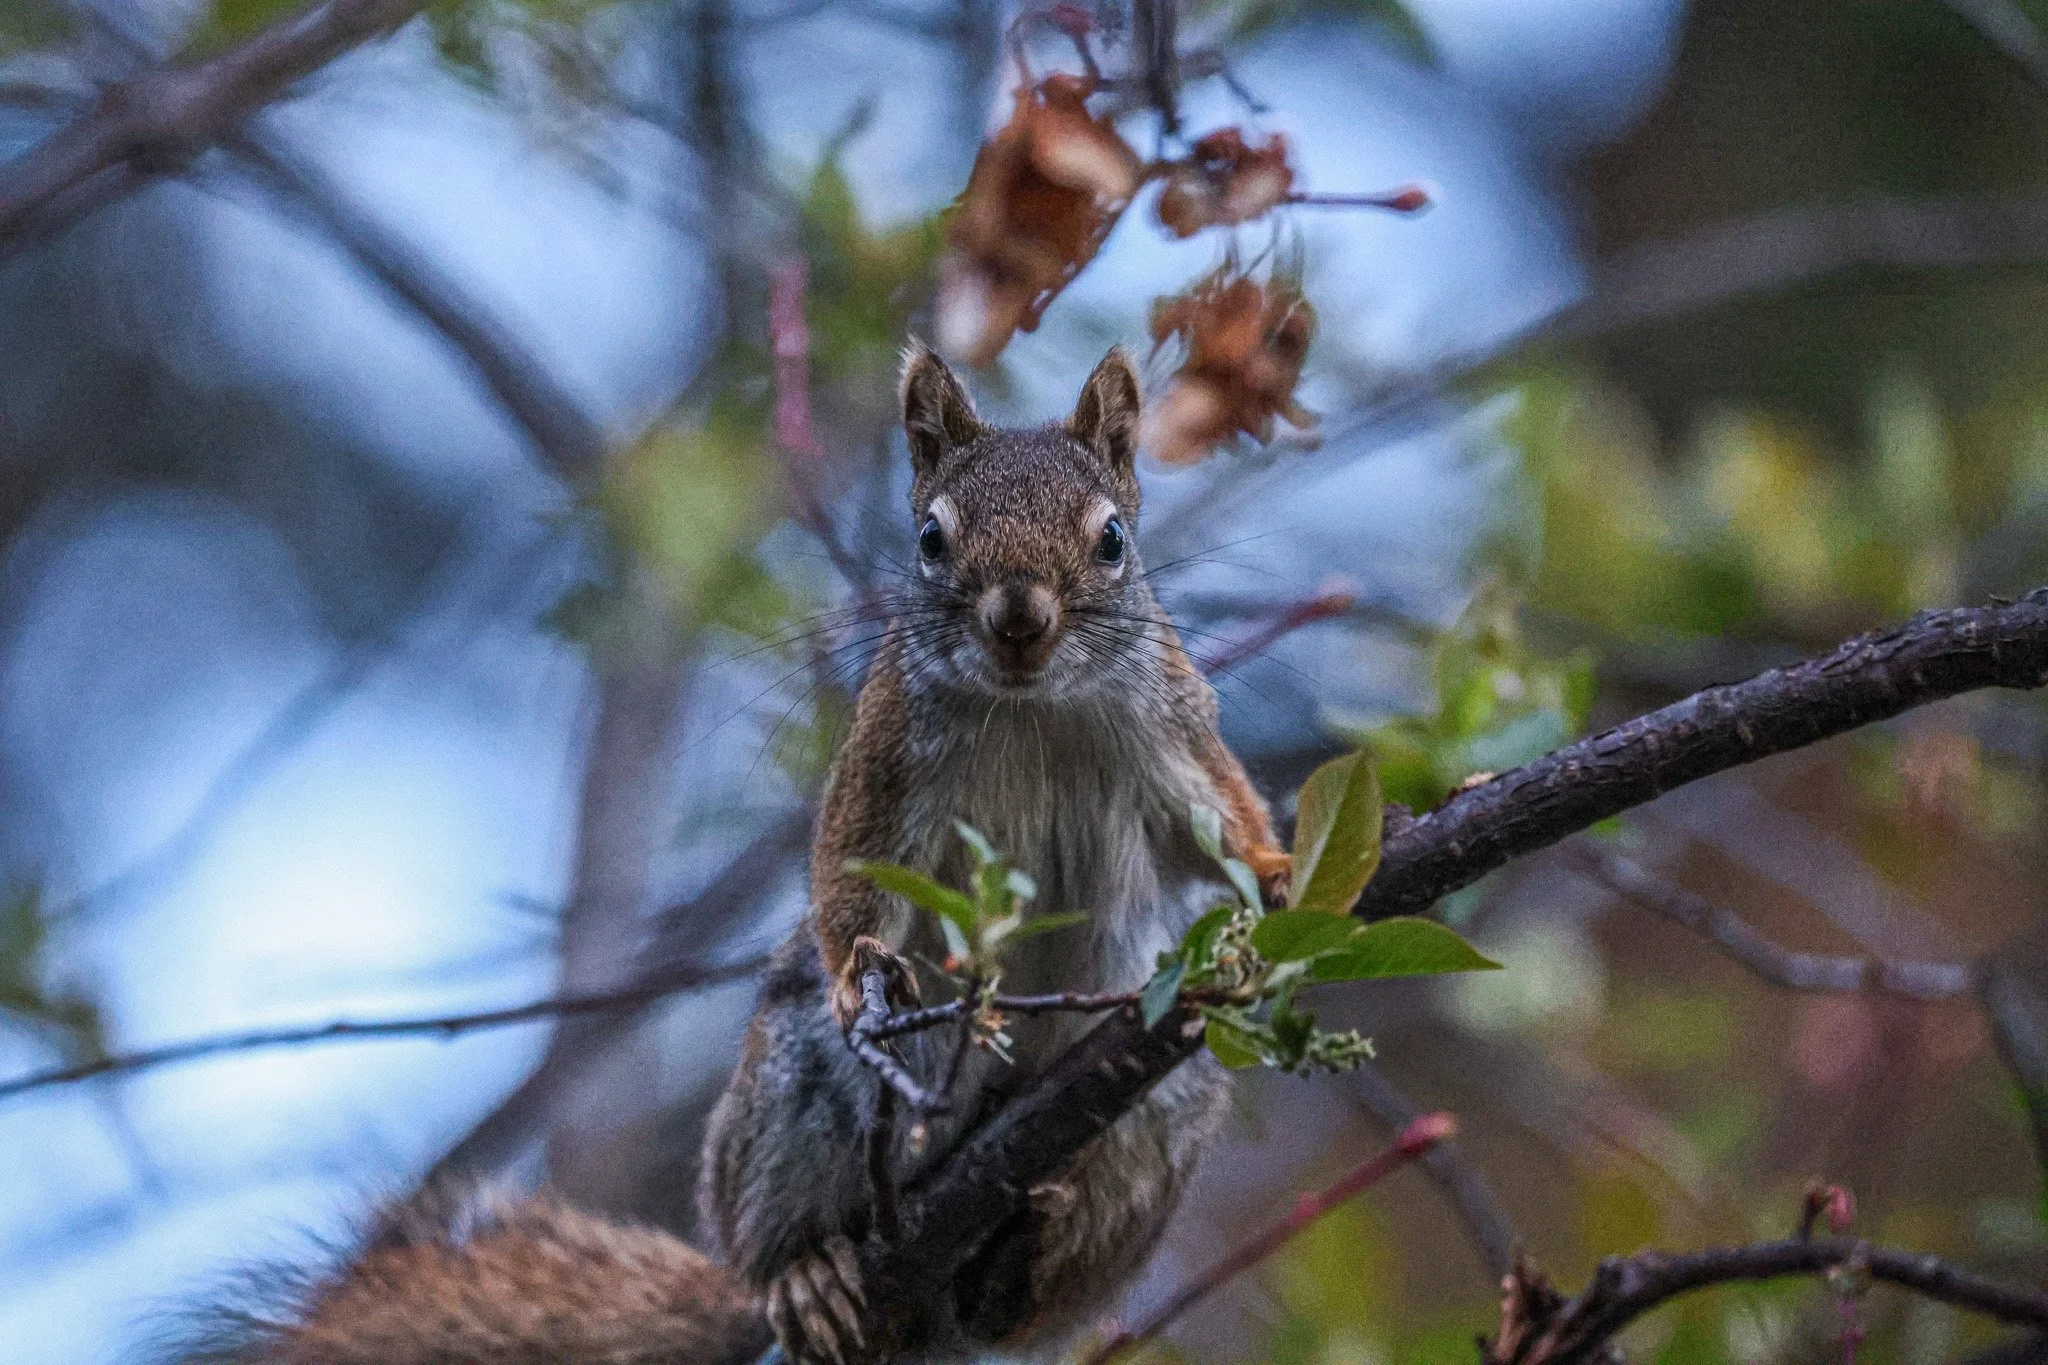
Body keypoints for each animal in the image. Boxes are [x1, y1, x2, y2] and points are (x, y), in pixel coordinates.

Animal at [167, 345, 1285, 1365]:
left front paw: (1282, 880)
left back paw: (1027, 1244)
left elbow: (1223, 814)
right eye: (930, 537)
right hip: (793, 1094)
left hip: (1161, 1114)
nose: (1019, 619)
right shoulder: (883, 760)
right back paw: (806, 1277)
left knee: (1017, 1308)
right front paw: (856, 972)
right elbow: (847, 867)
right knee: (777, 1245)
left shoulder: (1169, 727)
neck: (1031, 707)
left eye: (1112, 539)